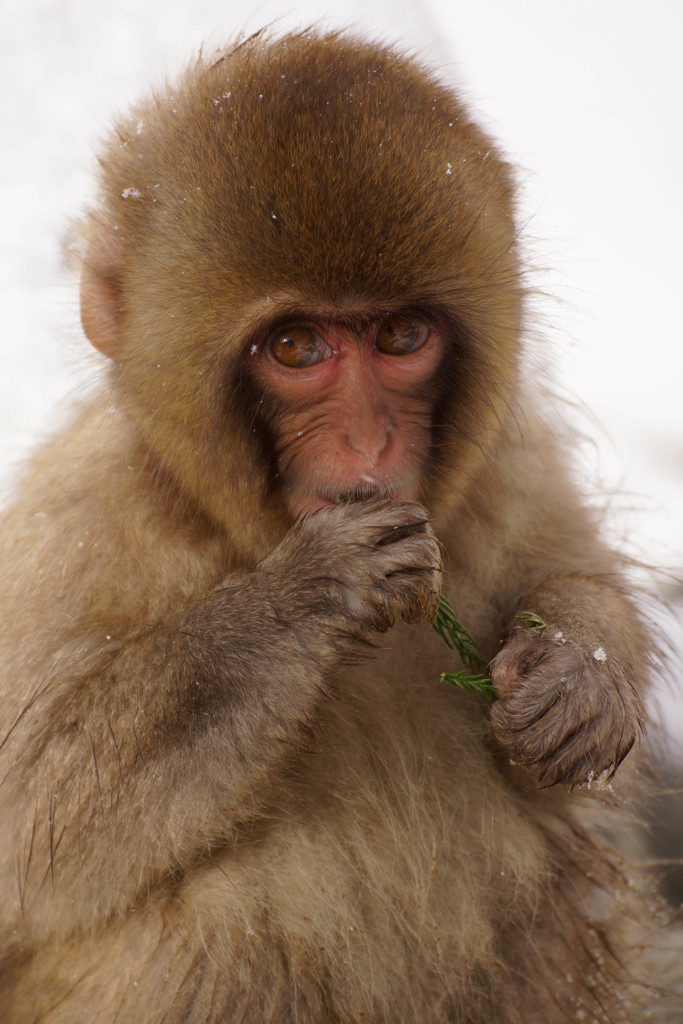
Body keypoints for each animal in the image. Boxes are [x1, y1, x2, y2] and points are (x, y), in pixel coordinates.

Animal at [0, 28, 671, 1024]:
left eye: (398, 336)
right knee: (218, 921)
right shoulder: (84, 519)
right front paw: (306, 596)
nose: (365, 440)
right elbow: (27, 817)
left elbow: (565, 571)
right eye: (295, 348)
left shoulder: (506, 457)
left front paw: (578, 673)